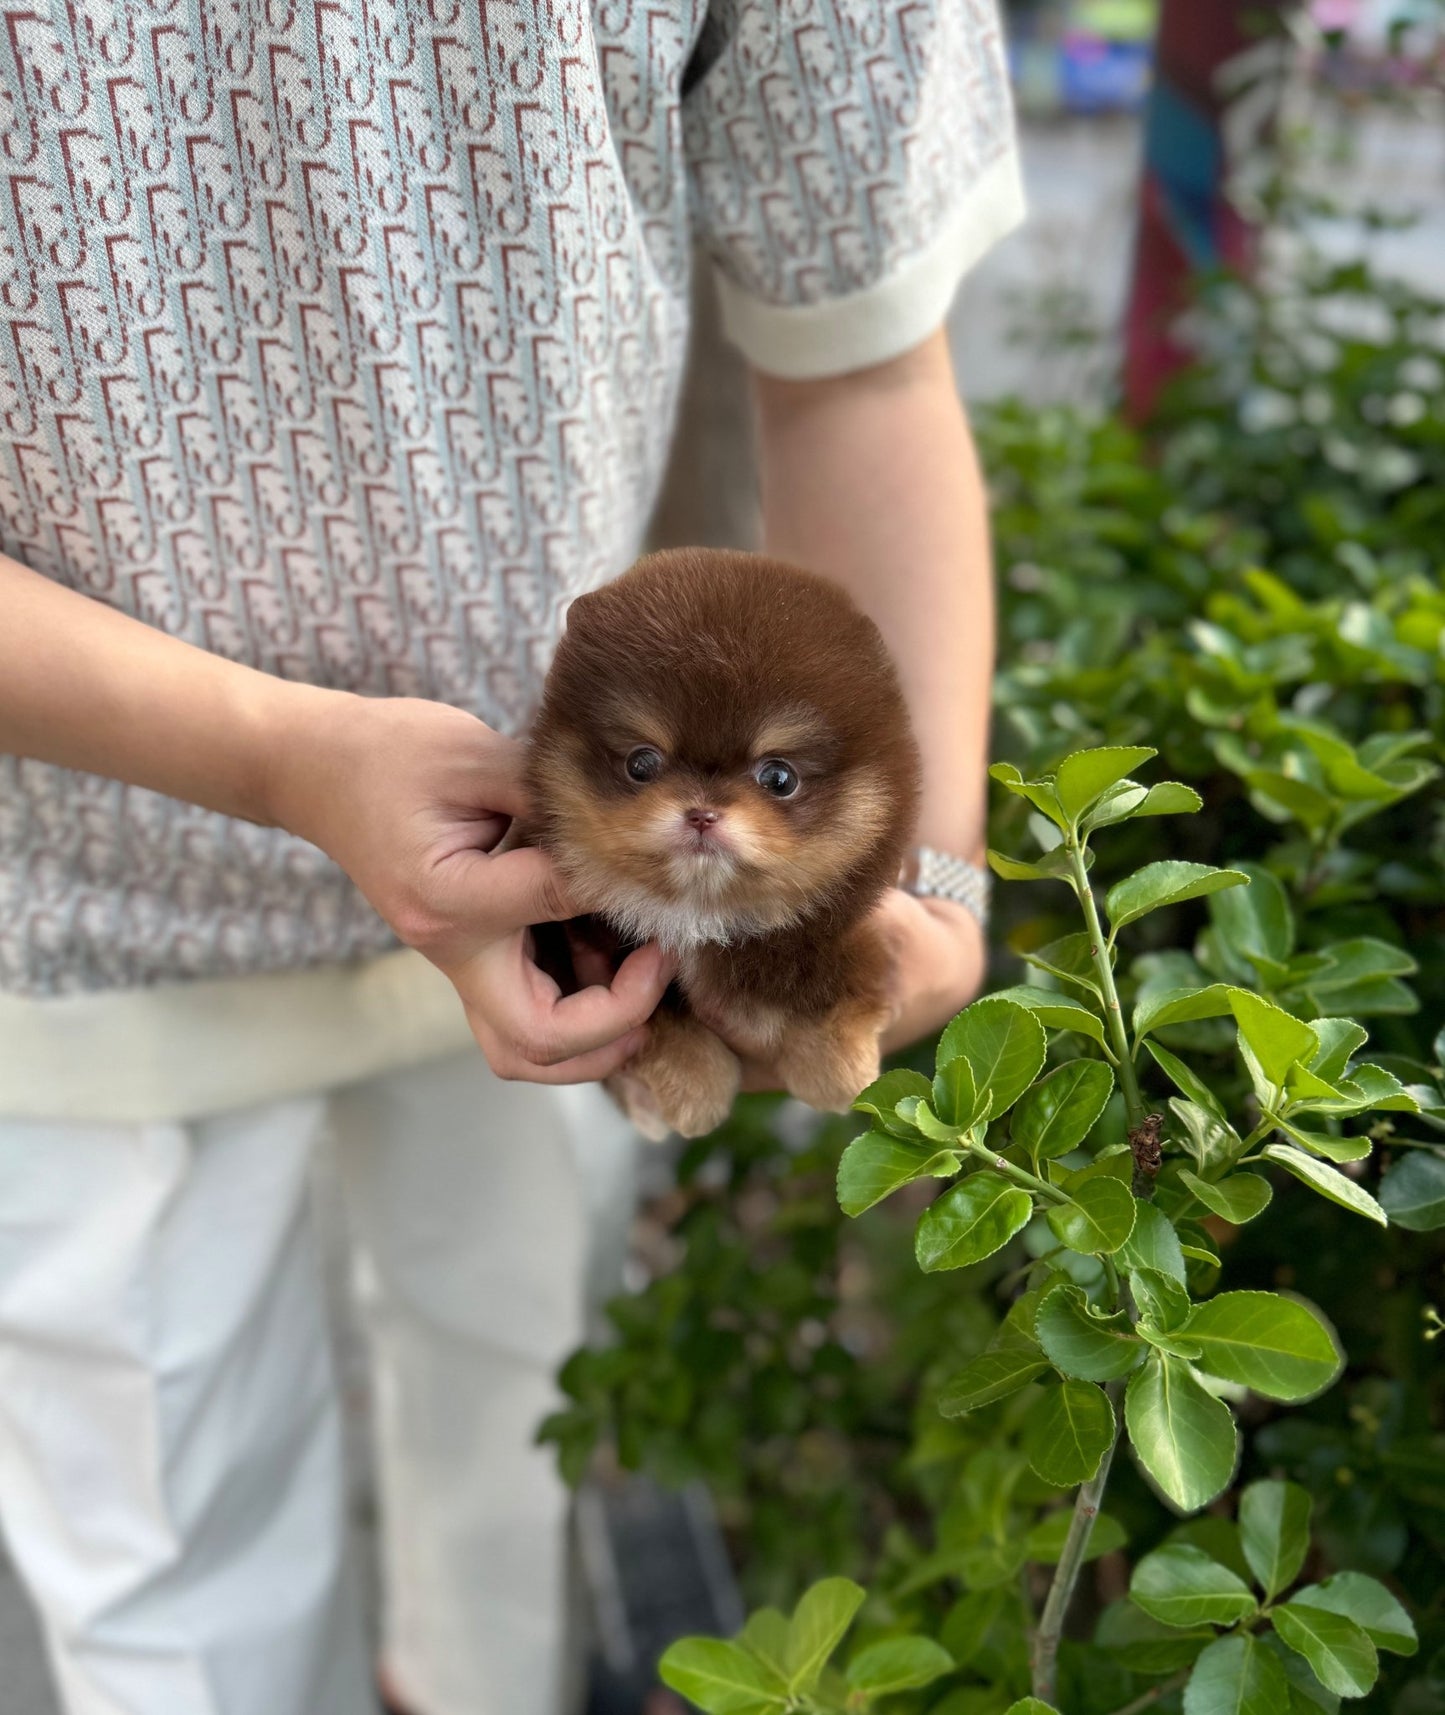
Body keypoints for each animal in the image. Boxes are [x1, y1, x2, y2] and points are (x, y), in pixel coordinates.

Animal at [524, 548, 918, 1138]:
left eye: (779, 777)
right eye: (641, 763)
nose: (702, 813)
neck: (704, 915)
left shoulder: (845, 934)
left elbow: (842, 983)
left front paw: (837, 1068)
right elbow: (660, 1021)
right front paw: (696, 1086)